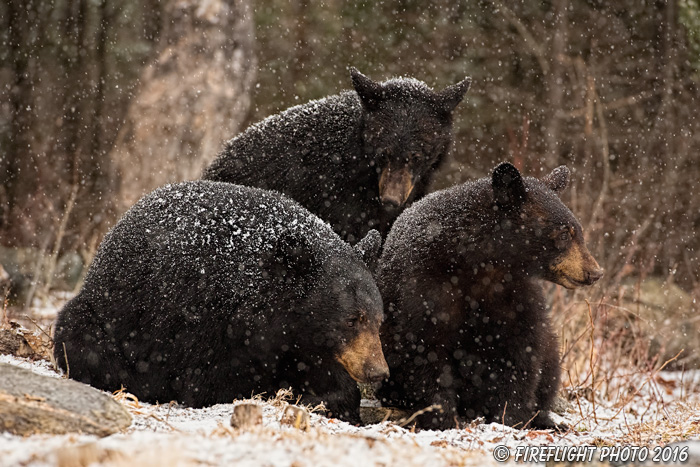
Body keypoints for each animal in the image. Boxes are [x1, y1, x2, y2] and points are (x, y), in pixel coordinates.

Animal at [52, 181, 392, 426]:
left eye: (378, 320)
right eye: (351, 319)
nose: (378, 372)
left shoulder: (302, 341)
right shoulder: (205, 321)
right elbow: (213, 382)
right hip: (102, 315)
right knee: (86, 343)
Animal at [378, 163, 600, 430]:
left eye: (578, 231)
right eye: (565, 234)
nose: (595, 272)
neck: (479, 262)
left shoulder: (514, 292)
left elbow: (522, 349)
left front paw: (511, 417)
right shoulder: (423, 287)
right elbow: (423, 348)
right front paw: (442, 417)